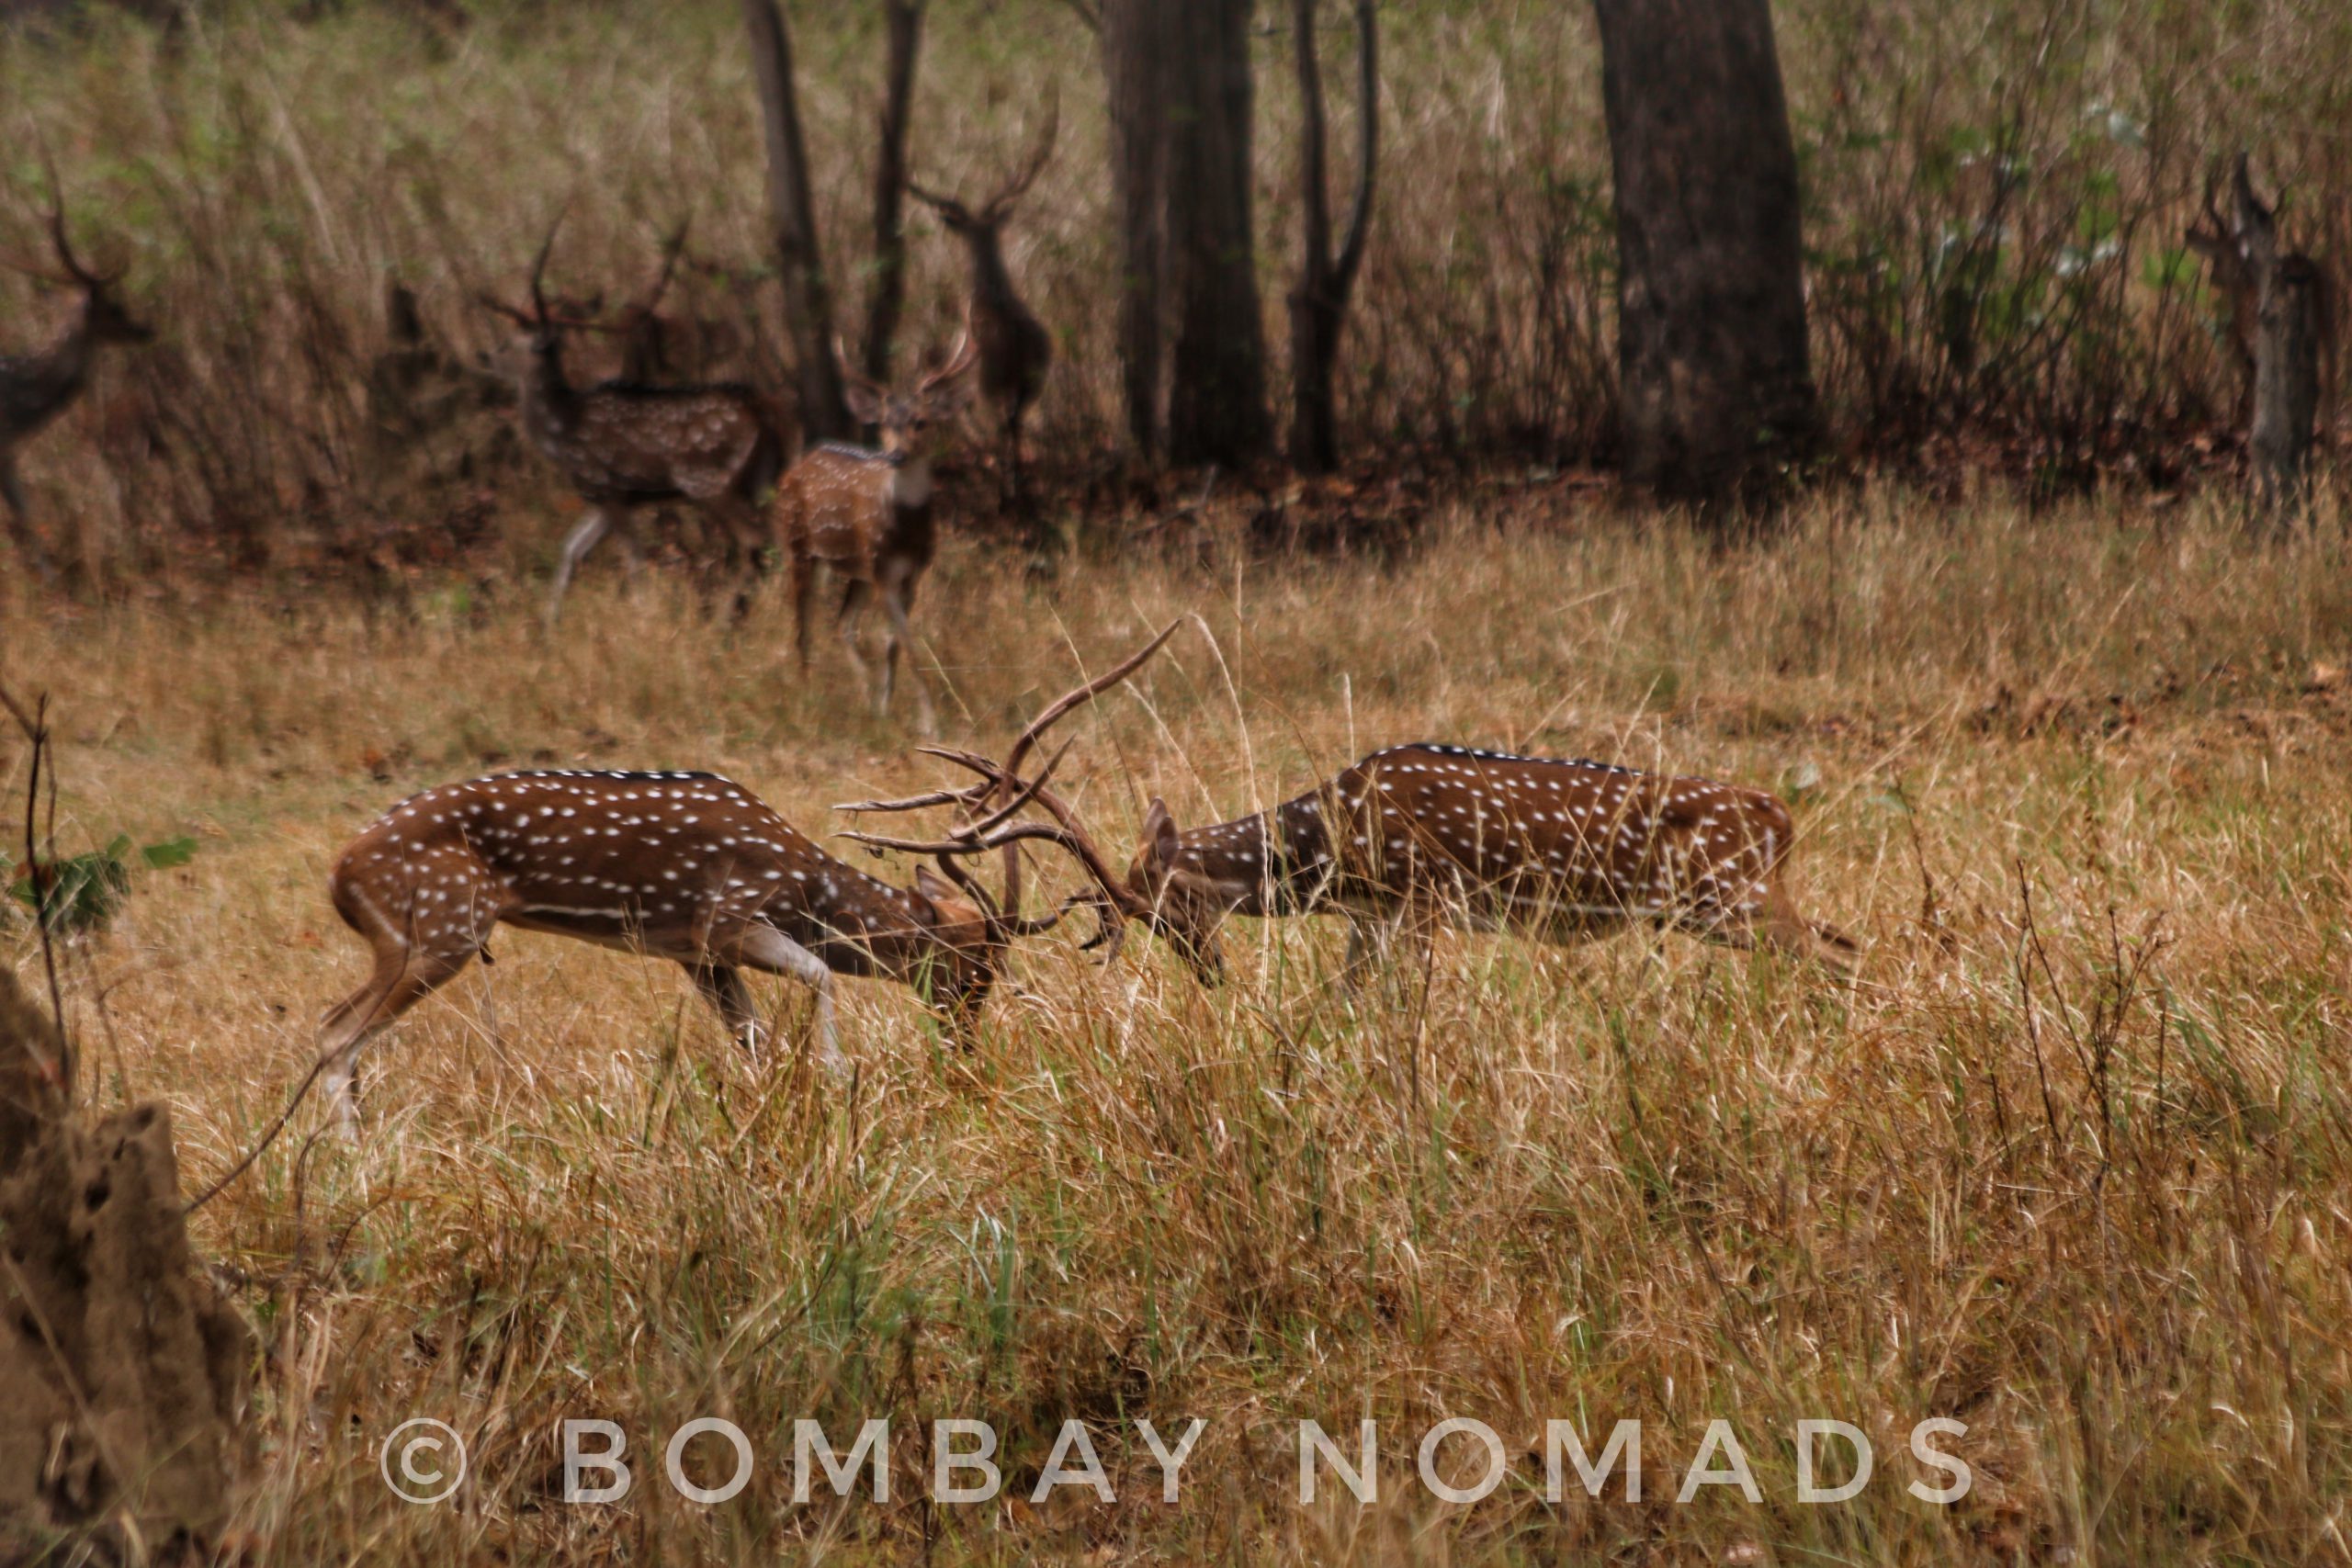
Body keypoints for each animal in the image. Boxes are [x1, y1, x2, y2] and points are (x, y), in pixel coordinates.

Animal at [481, 220, 786, 625]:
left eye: (508, 343)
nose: (484, 355)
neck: (559, 433)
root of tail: (765, 409)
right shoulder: (605, 498)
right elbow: (572, 549)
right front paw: (548, 625)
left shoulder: (607, 487)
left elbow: (633, 560)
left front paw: (642, 616)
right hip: (759, 476)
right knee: (779, 532)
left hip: (711, 481)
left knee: (755, 537)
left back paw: (727, 618)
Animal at [775, 333, 978, 738]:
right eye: (885, 422)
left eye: (921, 421)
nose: (896, 455)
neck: (904, 531)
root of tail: (797, 465)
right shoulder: (882, 569)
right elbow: (907, 642)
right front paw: (929, 722)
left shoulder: (912, 573)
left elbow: (892, 642)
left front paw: (887, 707)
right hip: (798, 545)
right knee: (802, 625)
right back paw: (807, 696)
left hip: (857, 570)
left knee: (841, 624)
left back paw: (867, 693)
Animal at [908, 95, 1058, 517]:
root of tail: (1022, 351)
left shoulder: (970, 343)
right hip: (1033, 383)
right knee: (1017, 424)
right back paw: (1017, 488)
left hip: (991, 383)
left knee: (1001, 424)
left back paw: (1006, 489)